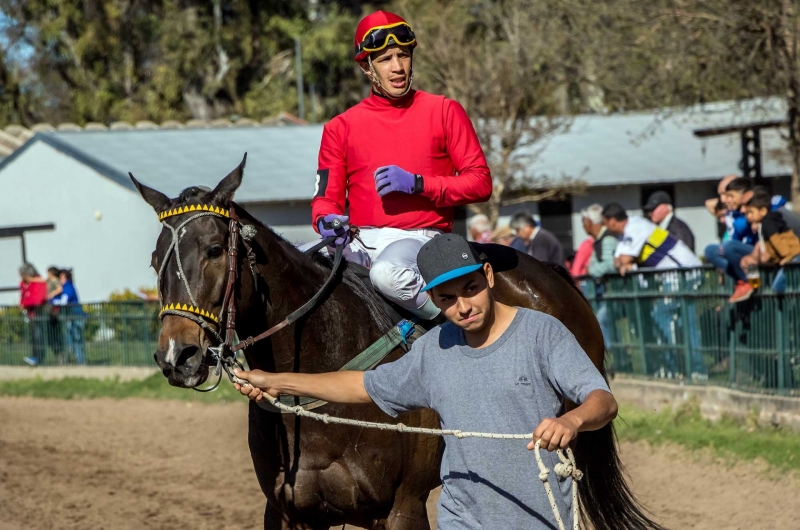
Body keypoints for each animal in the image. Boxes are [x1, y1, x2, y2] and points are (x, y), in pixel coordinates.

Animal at [131, 154, 664, 528]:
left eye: (214, 250)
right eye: (156, 260)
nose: (178, 355)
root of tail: (551, 272)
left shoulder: (401, 508)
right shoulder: (288, 513)